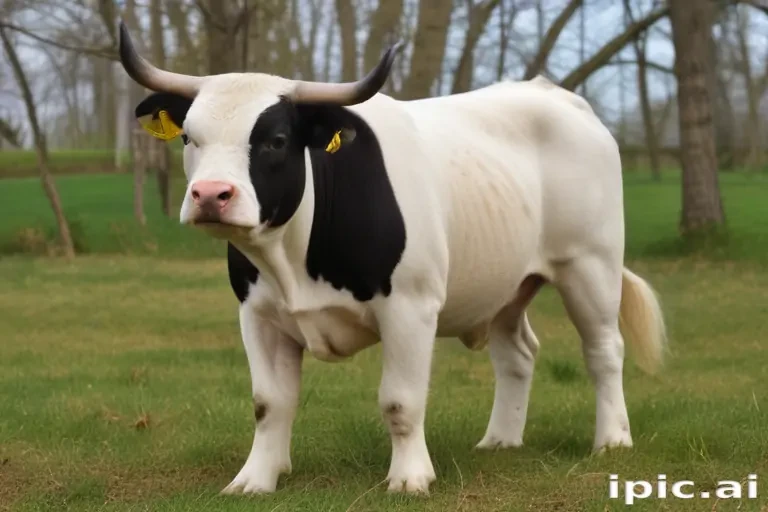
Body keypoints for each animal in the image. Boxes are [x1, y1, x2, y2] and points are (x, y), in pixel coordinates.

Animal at [117, 21, 666, 495]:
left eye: (275, 140)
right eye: (189, 136)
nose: (211, 195)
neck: (295, 260)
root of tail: (557, 95)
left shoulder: (410, 307)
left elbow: (400, 401)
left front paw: (409, 477)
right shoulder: (258, 314)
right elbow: (269, 403)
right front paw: (256, 478)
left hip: (590, 266)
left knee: (603, 350)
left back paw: (612, 439)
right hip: (506, 283)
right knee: (517, 354)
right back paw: (500, 440)